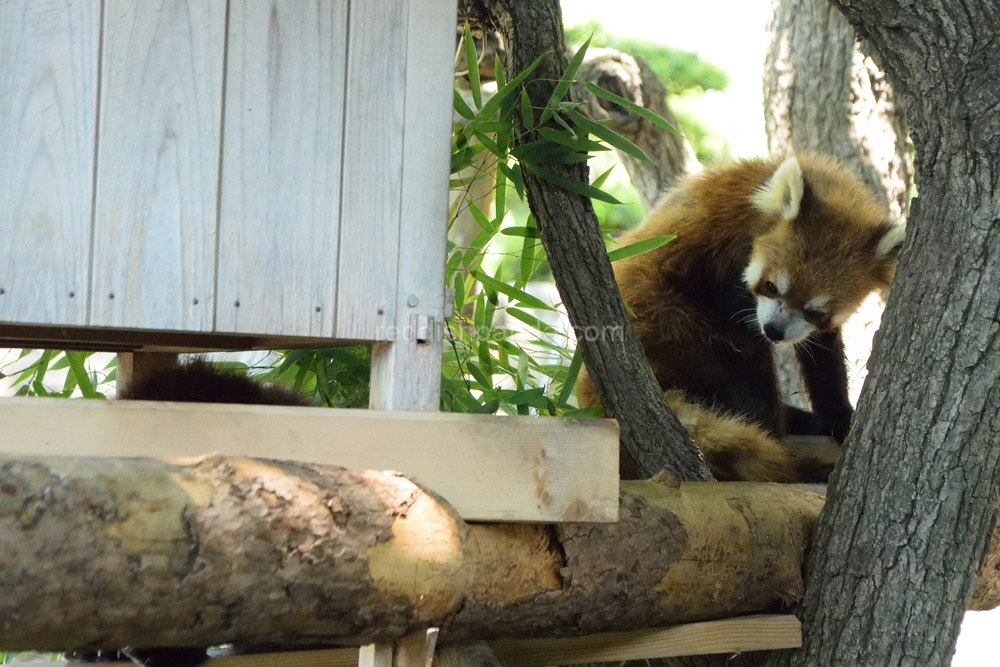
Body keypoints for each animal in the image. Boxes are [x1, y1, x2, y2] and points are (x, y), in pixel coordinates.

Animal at [576, 155, 904, 482]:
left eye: (815, 312)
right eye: (771, 286)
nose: (774, 331)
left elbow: (822, 353)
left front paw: (840, 416)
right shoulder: (723, 255)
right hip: (665, 320)